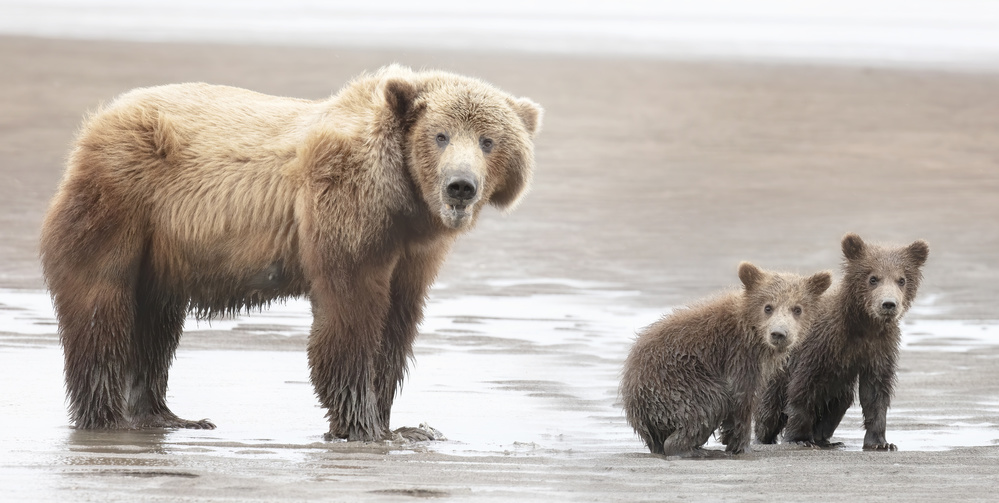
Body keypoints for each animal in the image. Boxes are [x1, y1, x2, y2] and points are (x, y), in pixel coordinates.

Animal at [39, 66, 544, 440]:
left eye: (489, 141)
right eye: (440, 135)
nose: (461, 186)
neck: (404, 199)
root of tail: (100, 120)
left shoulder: (415, 251)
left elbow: (397, 324)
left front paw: (401, 425)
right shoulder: (346, 207)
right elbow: (351, 313)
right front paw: (363, 426)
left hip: (162, 251)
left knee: (155, 324)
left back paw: (168, 416)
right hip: (122, 200)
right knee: (101, 306)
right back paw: (108, 418)